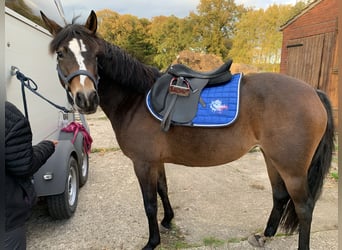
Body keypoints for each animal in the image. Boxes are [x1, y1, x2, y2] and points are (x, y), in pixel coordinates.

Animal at [40, 10, 334, 250]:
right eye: (61, 53)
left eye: (96, 55)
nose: (86, 99)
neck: (135, 98)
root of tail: (313, 91)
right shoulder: (155, 161)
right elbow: (163, 190)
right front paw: (168, 220)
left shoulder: (142, 163)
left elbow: (150, 203)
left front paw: (152, 241)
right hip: (271, 157)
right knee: (280, 195)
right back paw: (265, 235)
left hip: (292, 168)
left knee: (304, 208)